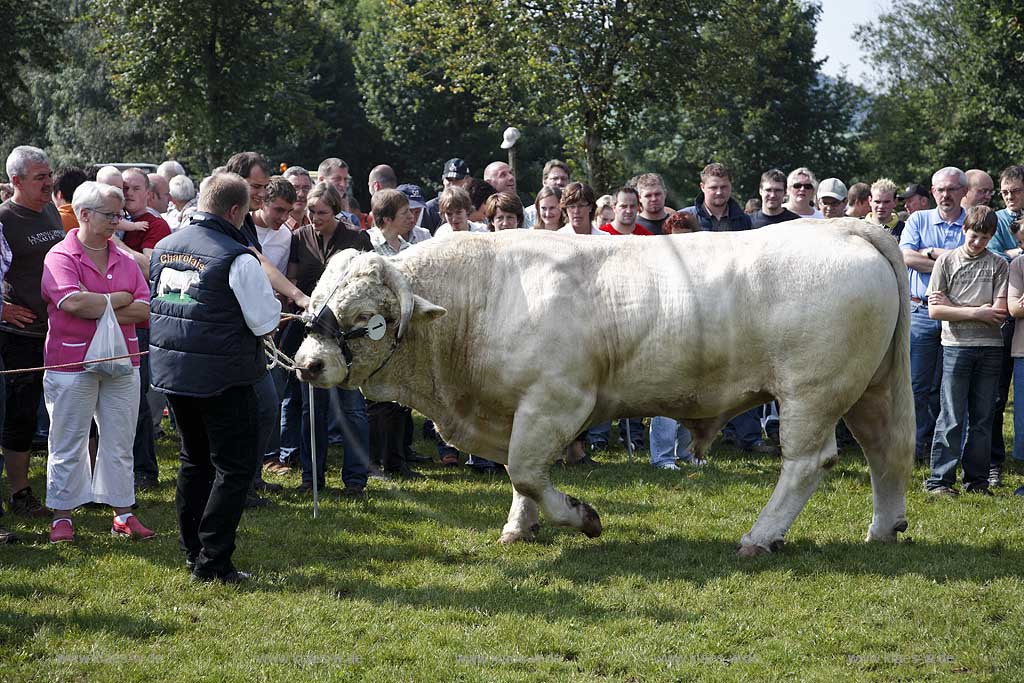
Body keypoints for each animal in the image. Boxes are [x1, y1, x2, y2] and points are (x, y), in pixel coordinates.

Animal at [294, 219, 913, 557]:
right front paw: (519, 528)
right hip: (869, 388)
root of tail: (841, 227)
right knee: (886, 451)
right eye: (313, 303)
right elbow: (519, 473)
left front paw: (581, 518)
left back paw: (760, 537)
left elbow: (526, 471)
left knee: (807, 462)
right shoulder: (517, 410)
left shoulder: (558, 400)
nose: (306, 364)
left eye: (368, 318)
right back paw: (883, 529)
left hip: (813, 392)